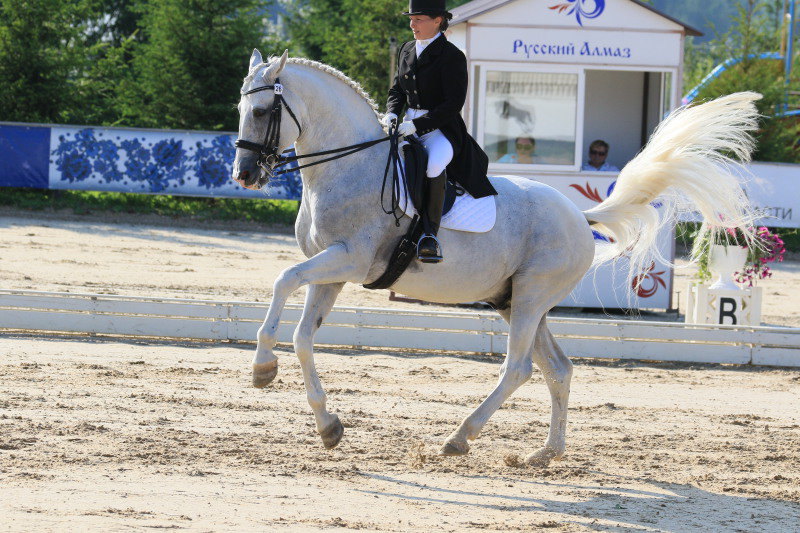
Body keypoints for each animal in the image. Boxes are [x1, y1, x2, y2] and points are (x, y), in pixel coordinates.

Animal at [233, 50, 764, 466]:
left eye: (260, 110)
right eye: (240, 108)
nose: (244, 175)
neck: (350, 166)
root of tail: (579, 215)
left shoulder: (349, 261)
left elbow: (283, 280)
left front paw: (262, 368)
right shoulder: (332, 271)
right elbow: (303, 337)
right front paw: (327, 425)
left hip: (529, 298)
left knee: (519, 368)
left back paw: (458, 438)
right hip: (516, 300)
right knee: (559, 369)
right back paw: (545, 453)